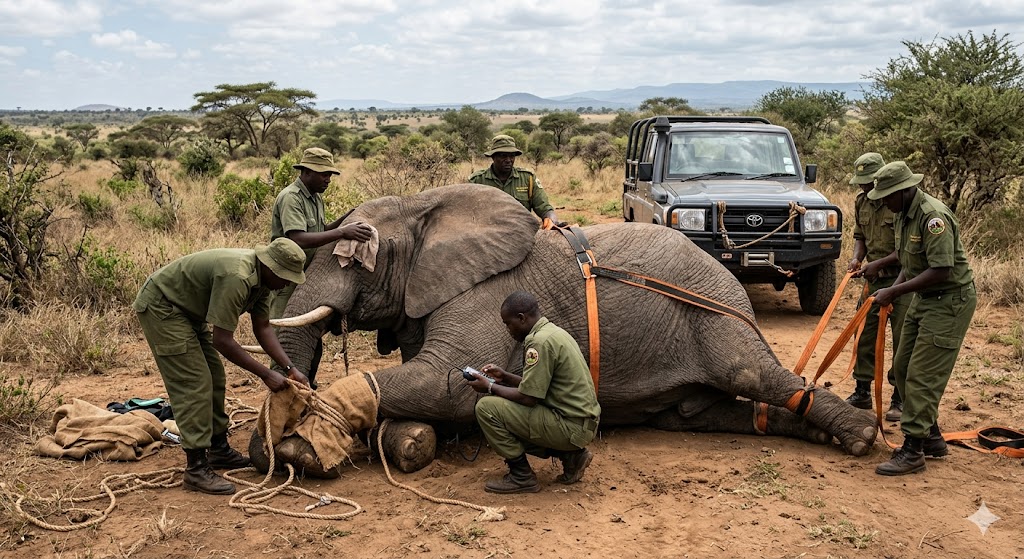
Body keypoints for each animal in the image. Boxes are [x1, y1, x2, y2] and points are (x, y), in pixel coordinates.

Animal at [262, 184, 877, 474]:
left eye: (352, 257)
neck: (424, 207)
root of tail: (728, 281)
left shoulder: (486, 293)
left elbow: (447, 385)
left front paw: (298, 445)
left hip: (712, 317)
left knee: (757, 375)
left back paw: (860, 436)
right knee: (707, 412)